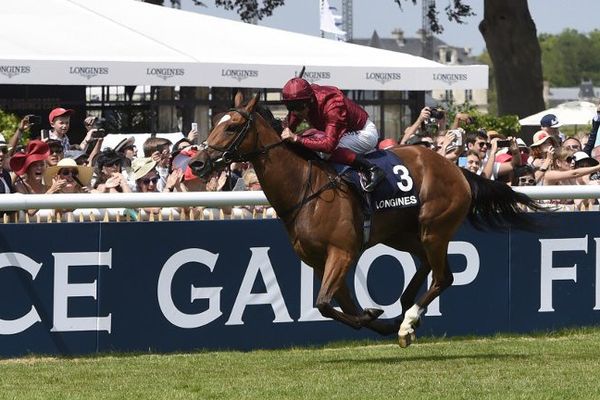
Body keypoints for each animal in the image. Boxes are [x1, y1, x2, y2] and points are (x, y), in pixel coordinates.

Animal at [190, 93, 540, 346]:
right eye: (215, 123)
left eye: (232, 127)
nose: (197, 163)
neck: (306, 189)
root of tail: (457, 170)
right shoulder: (319, 260)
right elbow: (340, 306)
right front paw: (378, 318)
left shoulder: (342, 252)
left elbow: (325, 304)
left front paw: (384, 319)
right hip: (400, 234)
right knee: (425, 265)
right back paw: (406, 307)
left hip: (435, 229)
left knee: (444, 277)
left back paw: (409, 320)